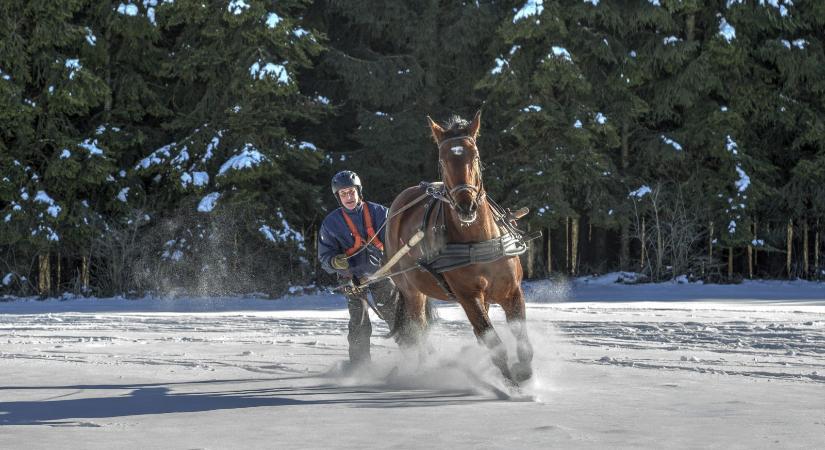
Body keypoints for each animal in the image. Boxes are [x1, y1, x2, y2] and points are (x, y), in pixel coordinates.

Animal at [386, 110, 536, 384]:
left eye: (475, 156)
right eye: (442, 161)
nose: (467, 206)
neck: (478, 241)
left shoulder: (512, 291)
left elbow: (522, 343)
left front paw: (523, 373)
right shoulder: (468, 297)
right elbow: (494, 342)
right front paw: (511, 383)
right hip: (411, 290)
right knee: (418, 328)